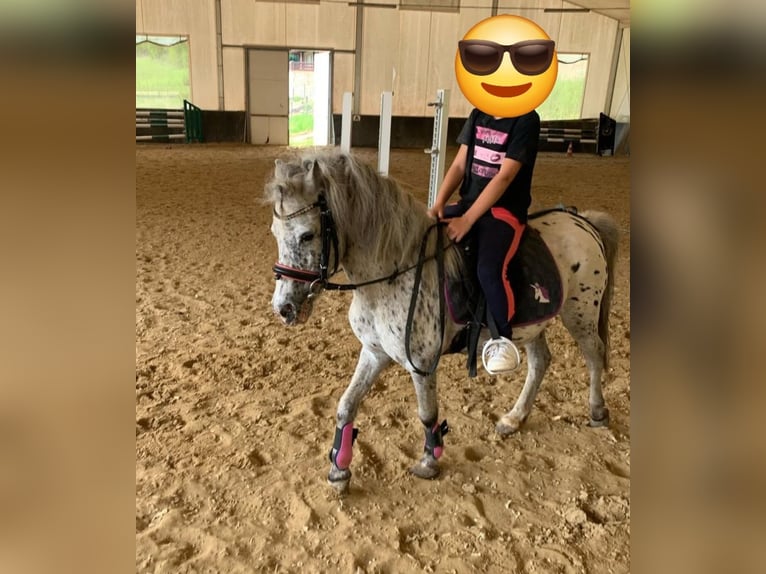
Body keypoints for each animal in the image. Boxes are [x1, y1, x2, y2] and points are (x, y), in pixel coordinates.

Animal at [265, 150, 619, 494]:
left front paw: (429, 461)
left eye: (307, 235)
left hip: (581, 314)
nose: (284, 308)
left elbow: (427, 414)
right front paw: (339, 470)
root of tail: (582, 220)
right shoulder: (374, 352)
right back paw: (514, 419)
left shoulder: (421, 363)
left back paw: (597, 411)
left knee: (594, 355)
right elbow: (346, 404)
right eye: (274, 233)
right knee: (540, 362)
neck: (392, 274)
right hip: (535, 324)